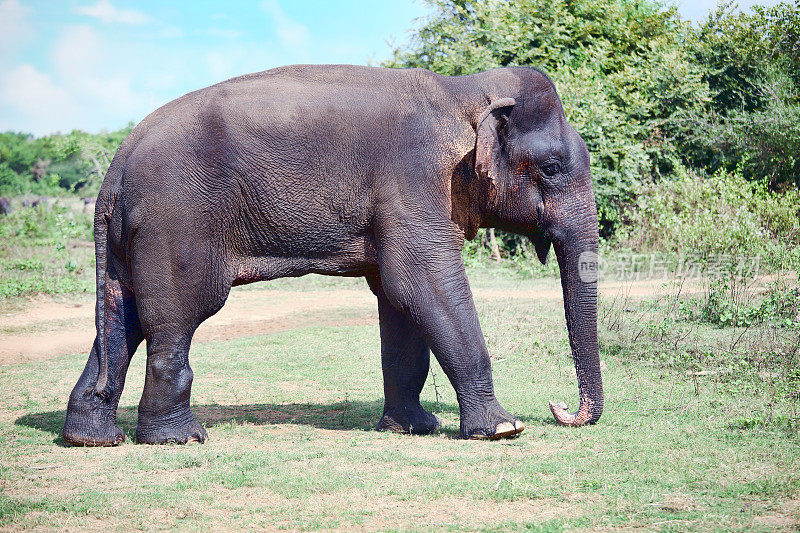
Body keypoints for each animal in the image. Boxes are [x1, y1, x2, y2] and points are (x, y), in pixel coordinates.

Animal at [61, 63, 600, 444]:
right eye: (551, 168)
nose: (560, 412)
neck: (464, 90)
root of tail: (116, 165)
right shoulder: (412, 179)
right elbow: (423, 284)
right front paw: (503, 429)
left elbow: (398, 299)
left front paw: (414, 426)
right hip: (175, 222)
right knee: (176, 315)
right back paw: (179, 438)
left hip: (133, 236)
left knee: (122, 316)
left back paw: (92, 438)